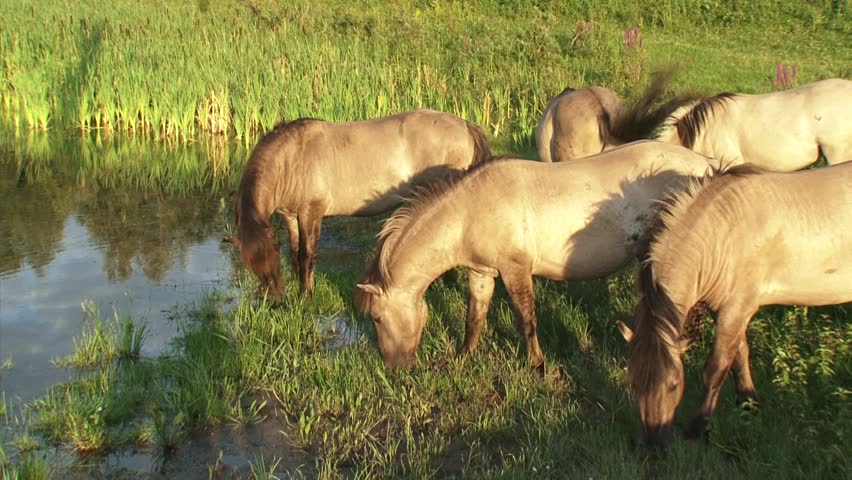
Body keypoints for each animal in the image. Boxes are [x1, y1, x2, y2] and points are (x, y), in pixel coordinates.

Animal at [228, 110, 492, 302]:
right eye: (250, 264)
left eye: (272, 259)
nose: (276, 301)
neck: (290, 159)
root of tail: (465, 126)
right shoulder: (291, 216)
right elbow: (295, 252)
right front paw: (299, 285)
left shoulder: (311, 213)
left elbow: (307, 254)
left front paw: (306, 294)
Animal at [352, 141, 720, 370]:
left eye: (377, 318)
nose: (394, 367)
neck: (469, 211)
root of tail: (705, 165)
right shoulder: (481, 272)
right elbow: (475, 316)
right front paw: (466, 356)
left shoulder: (516, 270)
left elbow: (525, 318)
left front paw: (537, 364)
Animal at [620, 161, 852, 446]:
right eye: (634, 384)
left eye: (674, 384)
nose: (654, 445)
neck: (724, 234)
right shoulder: (726, 310)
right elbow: (739, 357)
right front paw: (749, 404)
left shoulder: (737, 309)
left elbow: (716, 369)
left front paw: (699, 428)